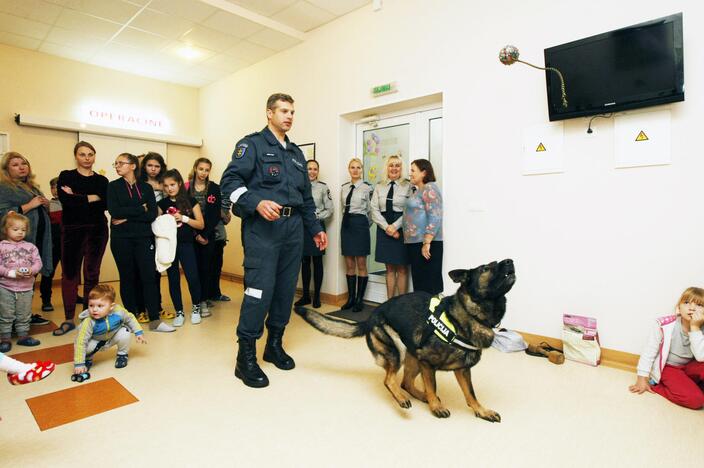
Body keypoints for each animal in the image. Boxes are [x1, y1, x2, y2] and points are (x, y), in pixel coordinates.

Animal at [294, 260, 516, 420]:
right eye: (486, 268)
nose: (510, 261)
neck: (469, 315)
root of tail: (371, 317)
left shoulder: (462, 370)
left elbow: (471, 394)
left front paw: (482, 410)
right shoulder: (427, 362)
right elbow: (433, 386)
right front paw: (437, 407)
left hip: (413, 356)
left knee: (405, 383)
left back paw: (419, 396)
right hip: (398, 350)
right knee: (390, 380)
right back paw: (404, 399)